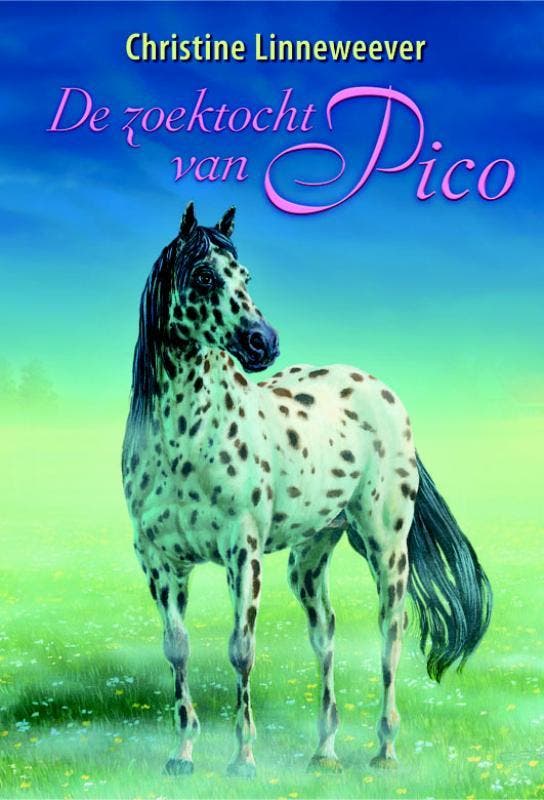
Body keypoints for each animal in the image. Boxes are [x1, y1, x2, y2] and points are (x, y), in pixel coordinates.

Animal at [122, 202, 492, 777]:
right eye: (203, 276)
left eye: (245, 277)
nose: (263, 342)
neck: (186, 439)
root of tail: (379, 390)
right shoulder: (160, 562)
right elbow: (177, 649)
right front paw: (182, 755)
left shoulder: (242, 552)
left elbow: (241, 650)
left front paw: (243, 760)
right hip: (311, 555)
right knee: (325, 637)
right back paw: (325, 752)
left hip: (386, 549)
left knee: (391, 635)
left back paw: (385, 750)